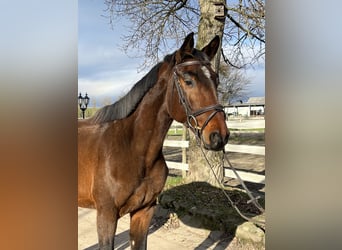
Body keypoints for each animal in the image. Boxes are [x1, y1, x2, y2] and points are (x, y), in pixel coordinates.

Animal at [78, 32, 230, 249]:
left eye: (216, 80)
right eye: (188, 80)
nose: (219, 135)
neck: (132, 149)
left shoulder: (144, 211)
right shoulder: (106, 215)